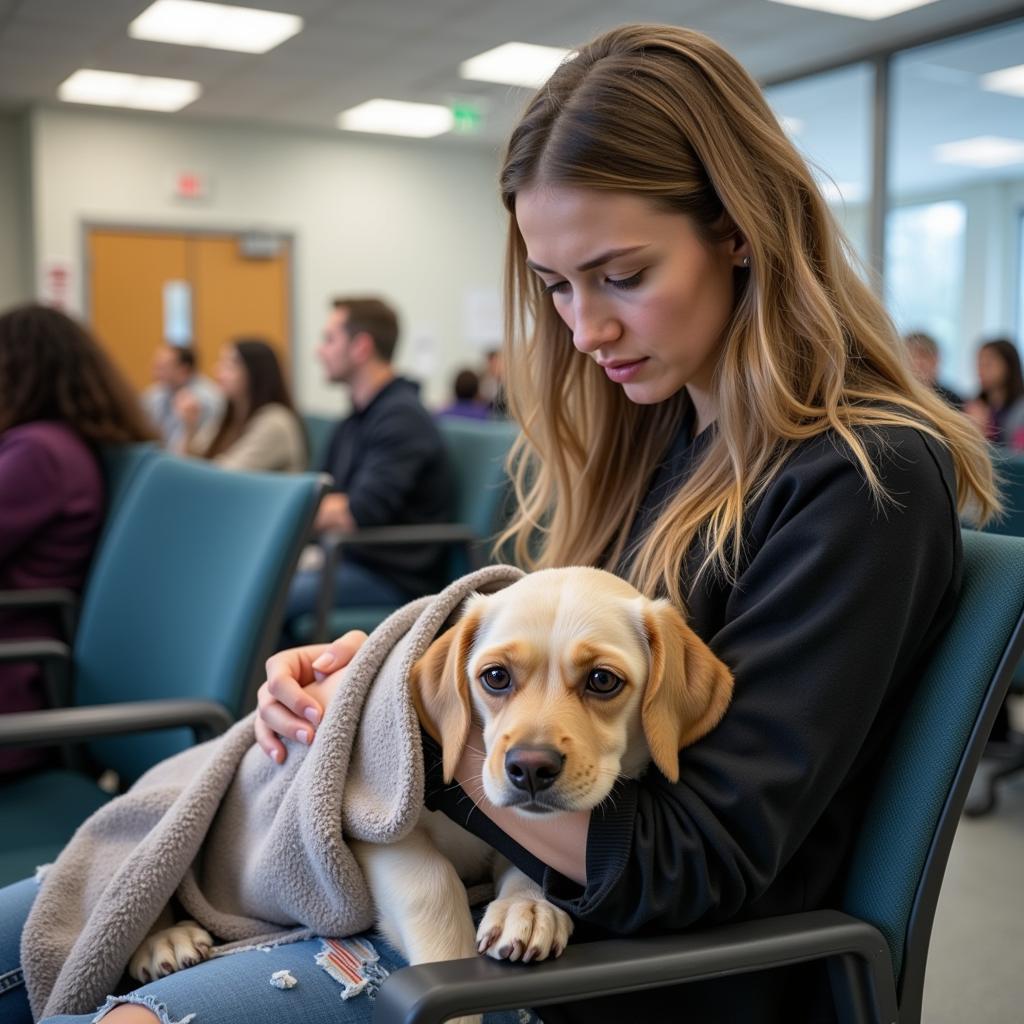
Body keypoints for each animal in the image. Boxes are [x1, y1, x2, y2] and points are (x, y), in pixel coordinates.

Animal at [132, 565, 733, 1019]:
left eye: (603, 681)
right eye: (495, 677)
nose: (529, 768)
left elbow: (530, 863)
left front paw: (527, 909)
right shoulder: (377, 831)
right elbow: (434, 889)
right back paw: (164, 940)